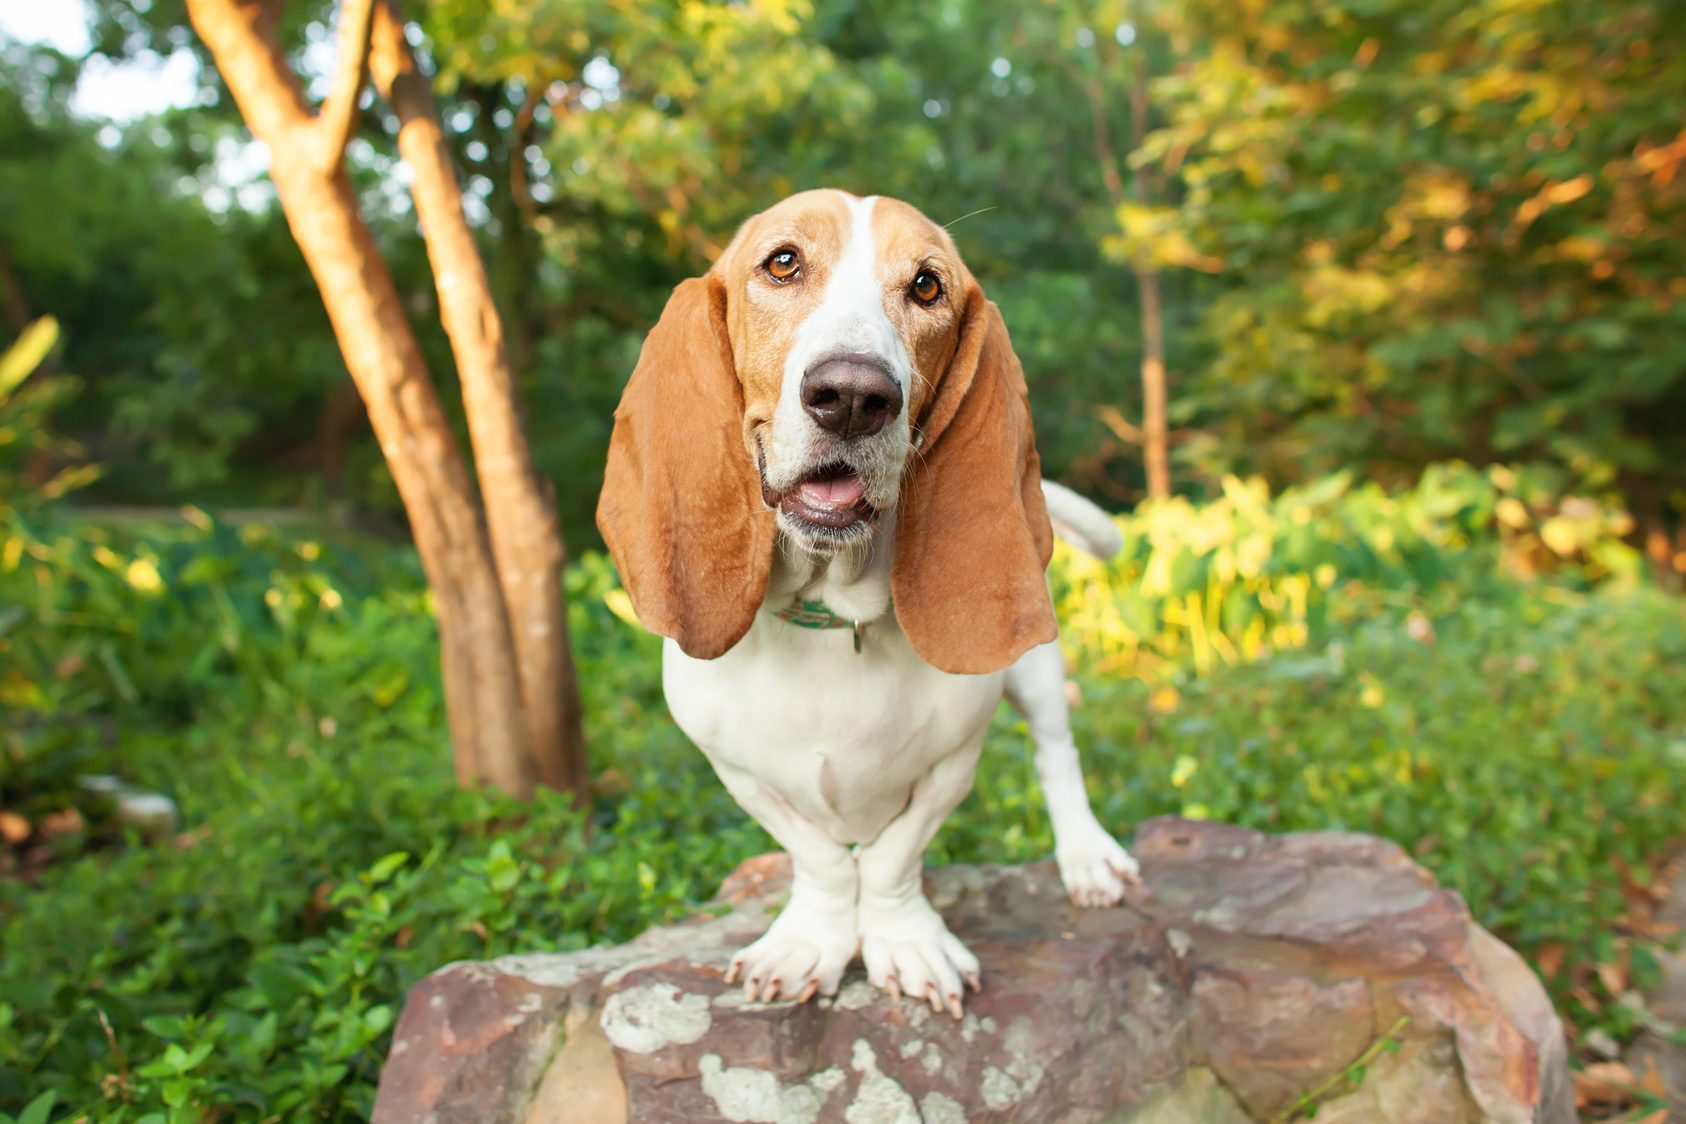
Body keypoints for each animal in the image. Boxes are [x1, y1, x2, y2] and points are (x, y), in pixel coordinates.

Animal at [600, 188, 1139, 1017]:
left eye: (927, 285)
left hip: (1037, 670)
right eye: (782, 262)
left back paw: (1086, 856)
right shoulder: (740, 772)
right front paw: (809, 942)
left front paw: (905, 943)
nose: (853, 395)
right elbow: (822, 859)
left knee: (1058, 754)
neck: (833, 617)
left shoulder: (953, 761)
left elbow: (889, 860)